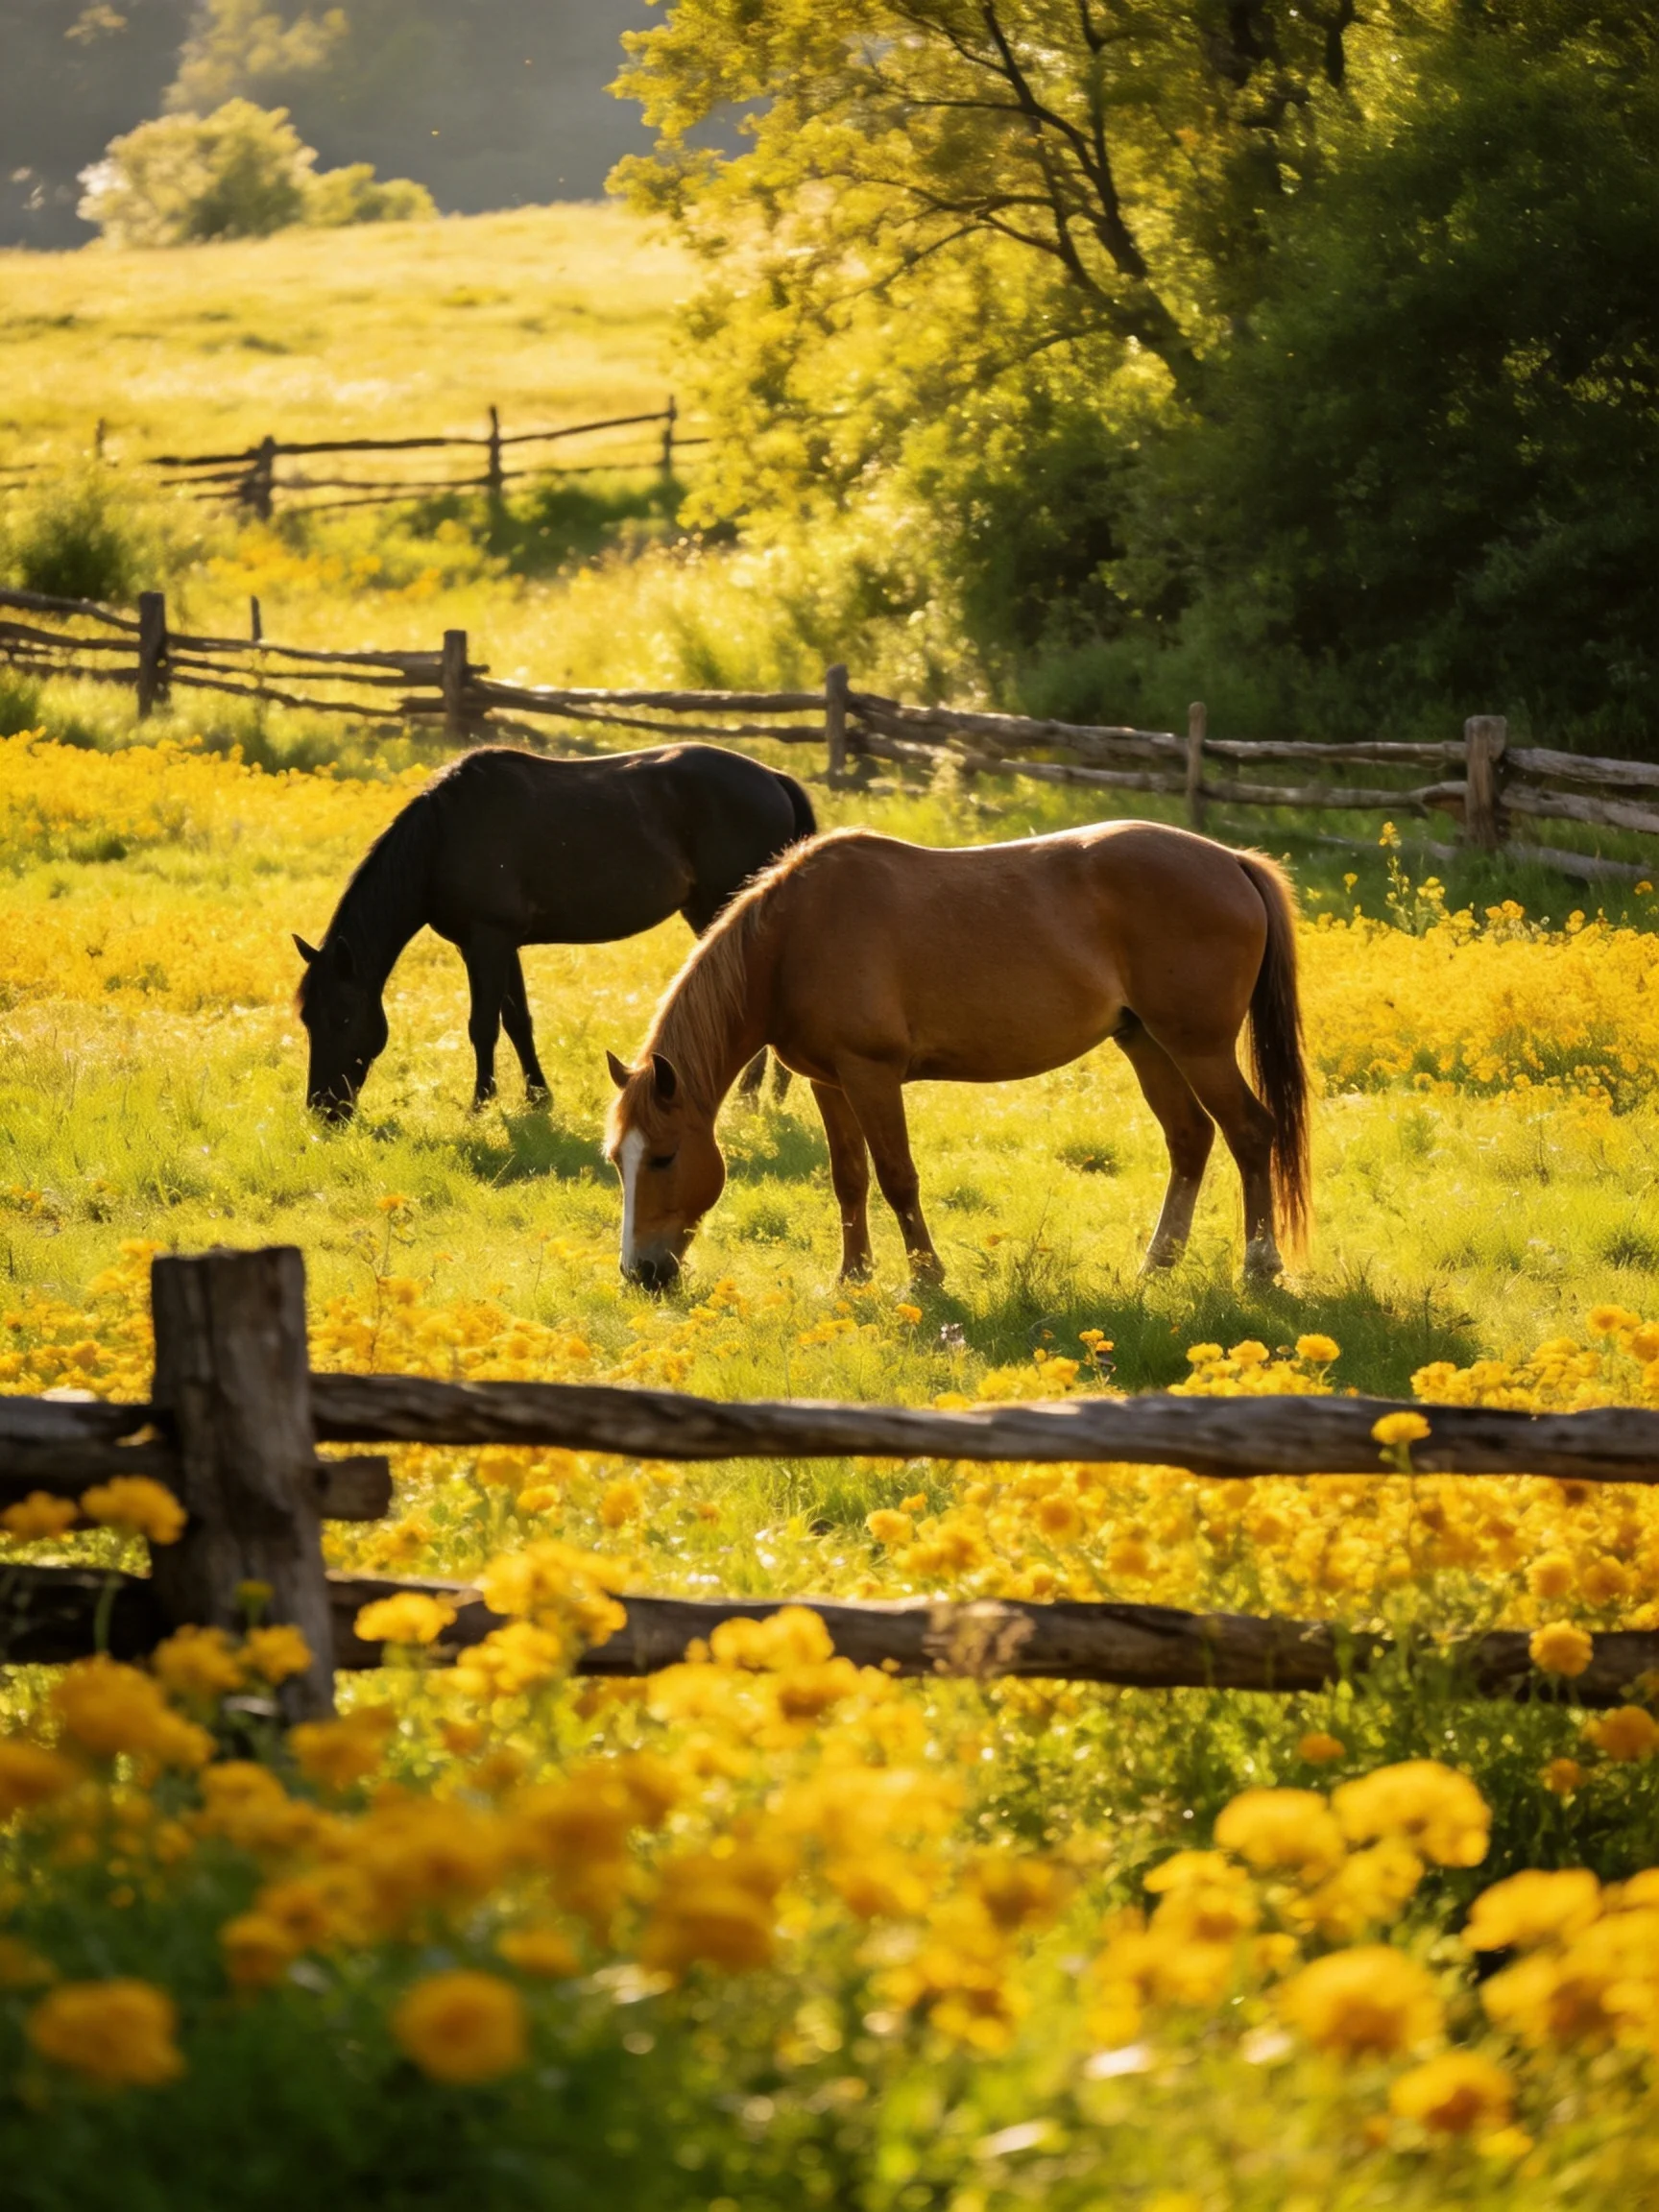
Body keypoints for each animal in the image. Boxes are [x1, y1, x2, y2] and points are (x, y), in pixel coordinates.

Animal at [294, 744, 815, 1120]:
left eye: (342, 1017)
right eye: (306, 1019)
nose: (324, 1110)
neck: (442, 838)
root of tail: (774, 778)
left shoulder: (486, 941)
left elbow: (482, 1026)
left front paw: (480, 1106)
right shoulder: (498, 945)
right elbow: (517, 1021)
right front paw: (537, 1098)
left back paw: (747, 1099)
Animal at [604, 819, 1309, 1290]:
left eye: (664, 1156)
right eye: (617, 1160)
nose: (639, 1272)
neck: (792, 941)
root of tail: (1232, 861)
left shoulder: (872, 1075)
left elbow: (897, 1176)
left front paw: (925, 1277)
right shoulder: (829, 1082)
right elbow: (848, 1178)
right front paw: (852, 1277)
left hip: (1199, 1047)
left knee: (1251, 1132)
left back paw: (1259, 1266)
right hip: (1148, 1043)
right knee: (1190, 1139)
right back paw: (1158, 1264)